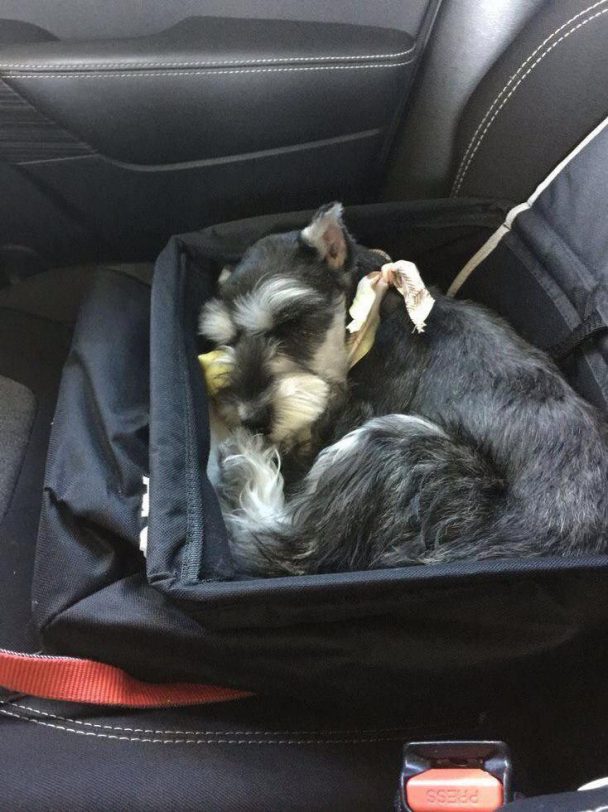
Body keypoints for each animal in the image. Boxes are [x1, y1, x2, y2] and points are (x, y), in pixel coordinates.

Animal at [200, 201, 608, 576]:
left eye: (292, 323)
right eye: (226, 341)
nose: (252, 418)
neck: (370, 318)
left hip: (398, 447)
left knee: (289, 546)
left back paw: (246, 461)